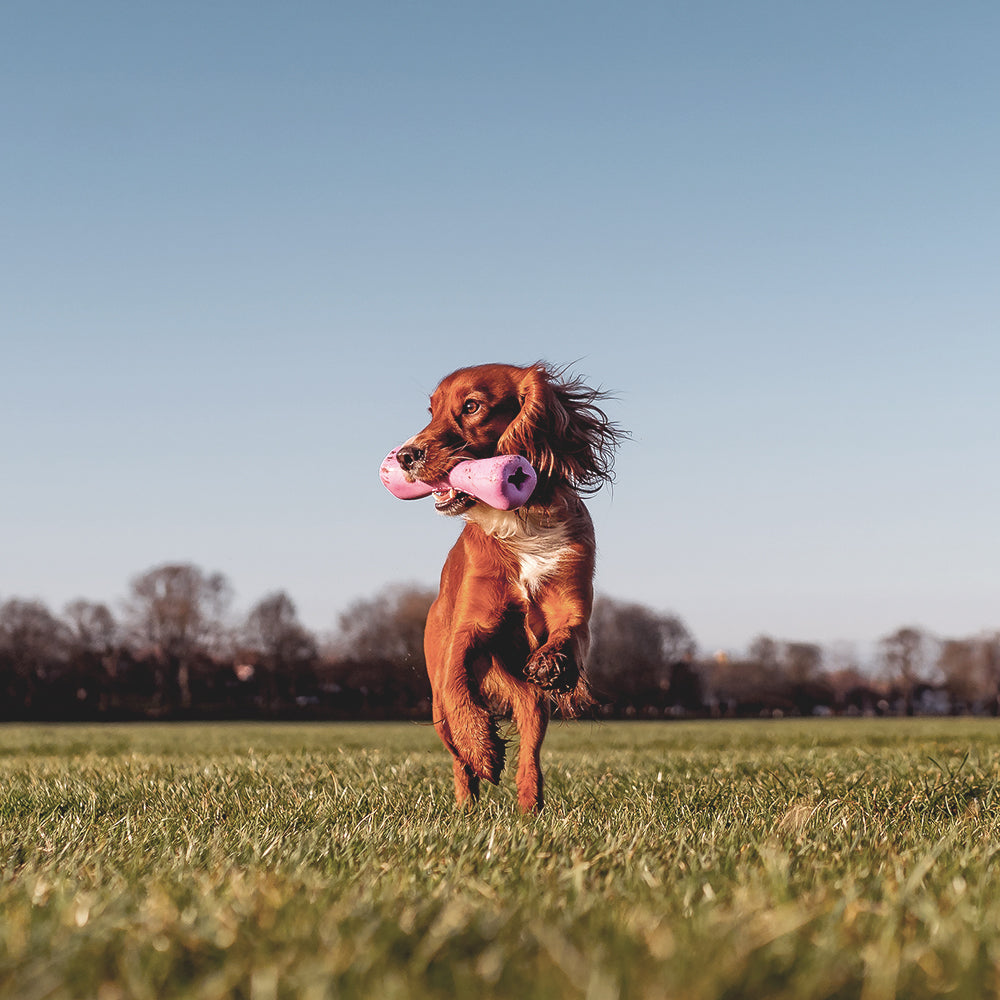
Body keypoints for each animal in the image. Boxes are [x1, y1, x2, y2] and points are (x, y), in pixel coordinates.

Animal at [392, 364, 620, 816]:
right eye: (431, 411)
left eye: (471, 406)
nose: (406, 455)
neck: (519, 521)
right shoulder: (467, 632)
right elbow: (457, 687)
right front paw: (483, 748)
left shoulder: (575, 608)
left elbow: (569, 634)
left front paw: (553, 663)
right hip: (436, 706)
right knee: (456, 755)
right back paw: (466, 803)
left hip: (532, 705)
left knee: (530, 751)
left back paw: (530, 808)